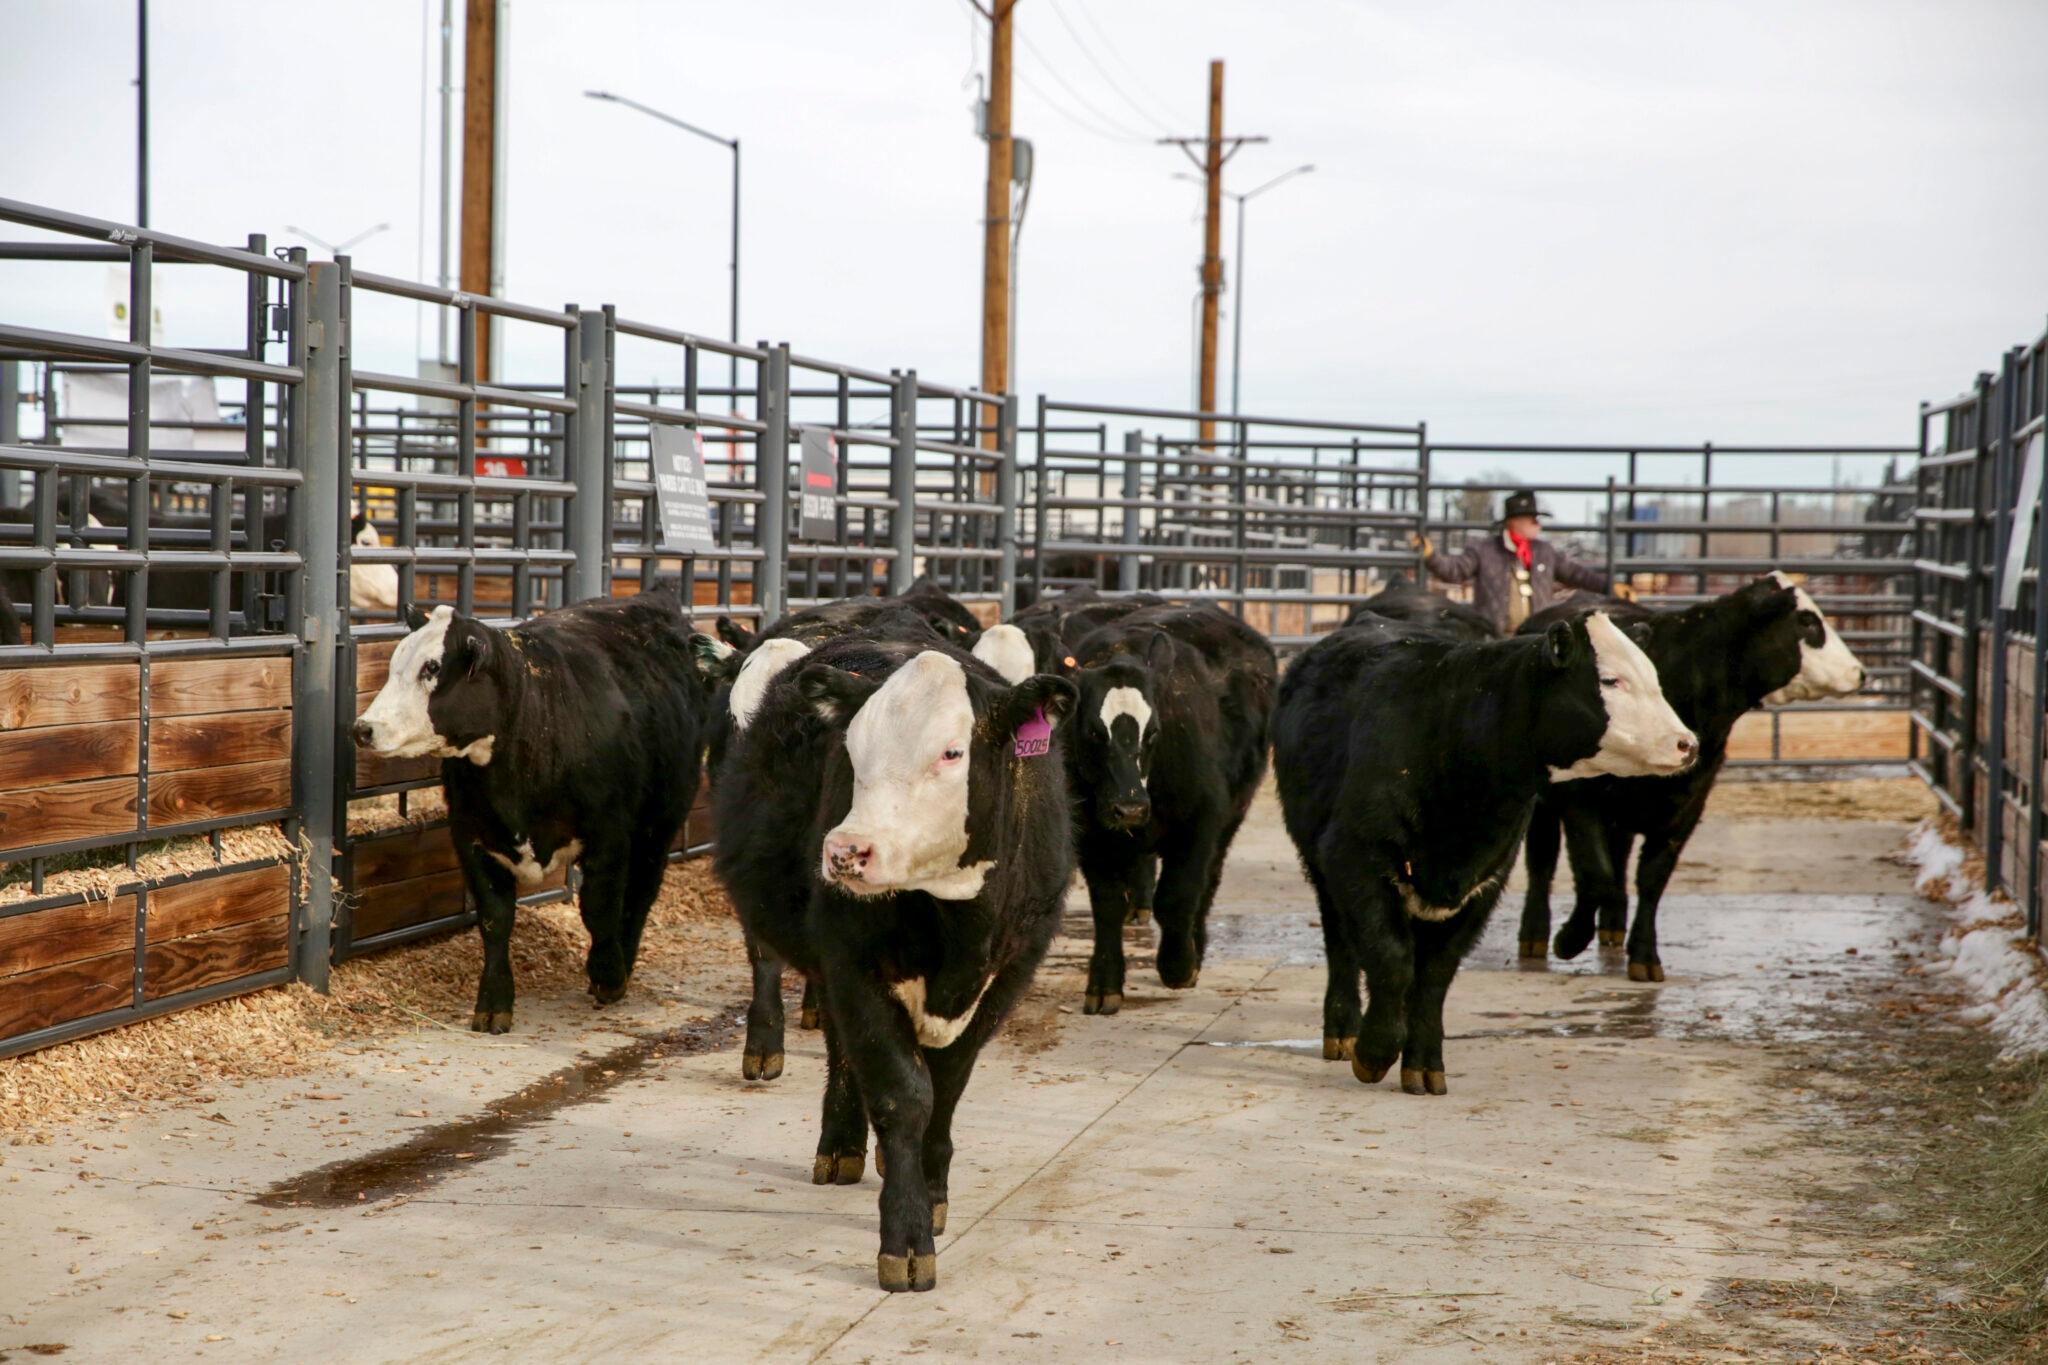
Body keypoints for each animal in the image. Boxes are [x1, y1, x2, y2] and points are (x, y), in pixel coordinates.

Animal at [352, 590, 716, 1032]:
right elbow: (495, 919)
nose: (363, 729)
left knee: (641, 892)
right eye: (395, 663)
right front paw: (494, 1001)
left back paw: (623, 961)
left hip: (661, 821)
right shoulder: (472, 837)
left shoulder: (609, 835)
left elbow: (599, 907)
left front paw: (607, 974)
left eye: (432, 668)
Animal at [712, 634, 1076, 1292]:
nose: (845, 850)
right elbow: (903, 1093)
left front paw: (932, 1194)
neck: (958, 925)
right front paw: (907, 1237)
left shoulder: (1010, 972)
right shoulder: (854, 965)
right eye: (852, 751)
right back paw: (838, 1140)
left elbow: (947, 1088)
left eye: (952, 752)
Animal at [1062, 602, 1276, 1014]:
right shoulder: (1092, 836)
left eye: (1154, 732)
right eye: (1094, 732)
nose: (1128, 808)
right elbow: (1107, 906)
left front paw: (1178, 964)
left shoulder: (1200, 824)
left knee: (1207, 883)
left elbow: (1177, 897)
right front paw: (1104, 982)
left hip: (1229, 819)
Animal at [1273, 610, 1695, 1095]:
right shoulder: (1357, 858)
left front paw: (1423, 1063)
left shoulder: (1484, 881)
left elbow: (1434, 975)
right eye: (1611, 680)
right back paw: (1343, 1030)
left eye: (1654, 678)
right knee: (1341, 942)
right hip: (1322, 863)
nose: (1687, 744)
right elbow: (1392, 958)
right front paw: (1375, 1050)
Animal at [1516, 572, 1865, 980]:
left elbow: (1651, 881)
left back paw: (1613, 928)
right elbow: (1595, 875)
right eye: (1807, 621)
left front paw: (1645, 955)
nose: (1859, 672)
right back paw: (1535, 934)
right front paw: (1570, 939)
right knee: (1542, 862)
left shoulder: (1686, 807)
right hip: (1544, 806)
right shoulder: (1581, 802)